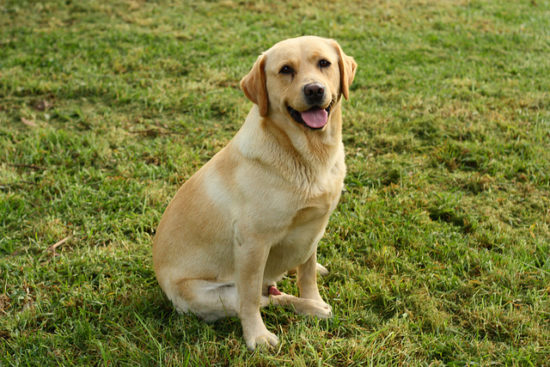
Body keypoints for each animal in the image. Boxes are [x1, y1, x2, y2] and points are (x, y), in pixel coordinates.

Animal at [153, 36, 358, 350]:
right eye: (285, 70)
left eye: (324, 63)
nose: (314, 90)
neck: (307, 154)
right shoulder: (253, 243)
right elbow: (249, 300)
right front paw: (257, 336)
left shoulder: (312, 228)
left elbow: (307, 273)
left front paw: (314, 296)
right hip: (214, 294)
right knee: (261, 299)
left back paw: (313, 304)